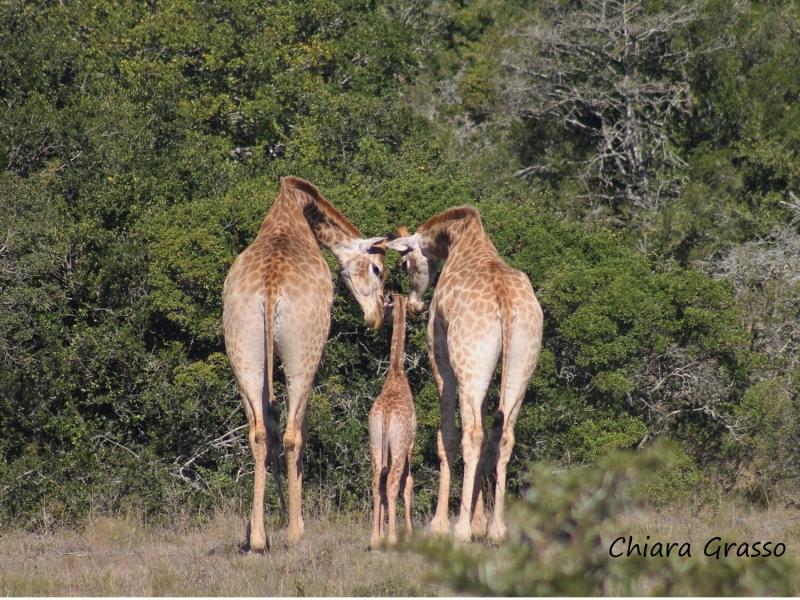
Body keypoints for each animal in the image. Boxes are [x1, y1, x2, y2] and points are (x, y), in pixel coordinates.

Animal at [223, 176, 387, 553]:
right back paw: (295, 532)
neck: (296, 209)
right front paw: (293, 524)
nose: (377, 317)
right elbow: (304, 428)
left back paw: (258, 538)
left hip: (242, 350)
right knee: (292, 433)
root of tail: (270, 289)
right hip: (303, 354)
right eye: (378, 269)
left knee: (258, 432)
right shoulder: (316, 354)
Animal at [387, 208, 543, 543]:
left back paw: (459, 530)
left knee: (471, 435)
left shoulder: (441, 356)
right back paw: (497, 529)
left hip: (469, 365)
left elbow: (446, 435)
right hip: (520, 363)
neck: (457, 239)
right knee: (503, 434)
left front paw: (442, 525)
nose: (416, 306)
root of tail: (504, 300)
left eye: (405, 263)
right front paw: (479, 523)